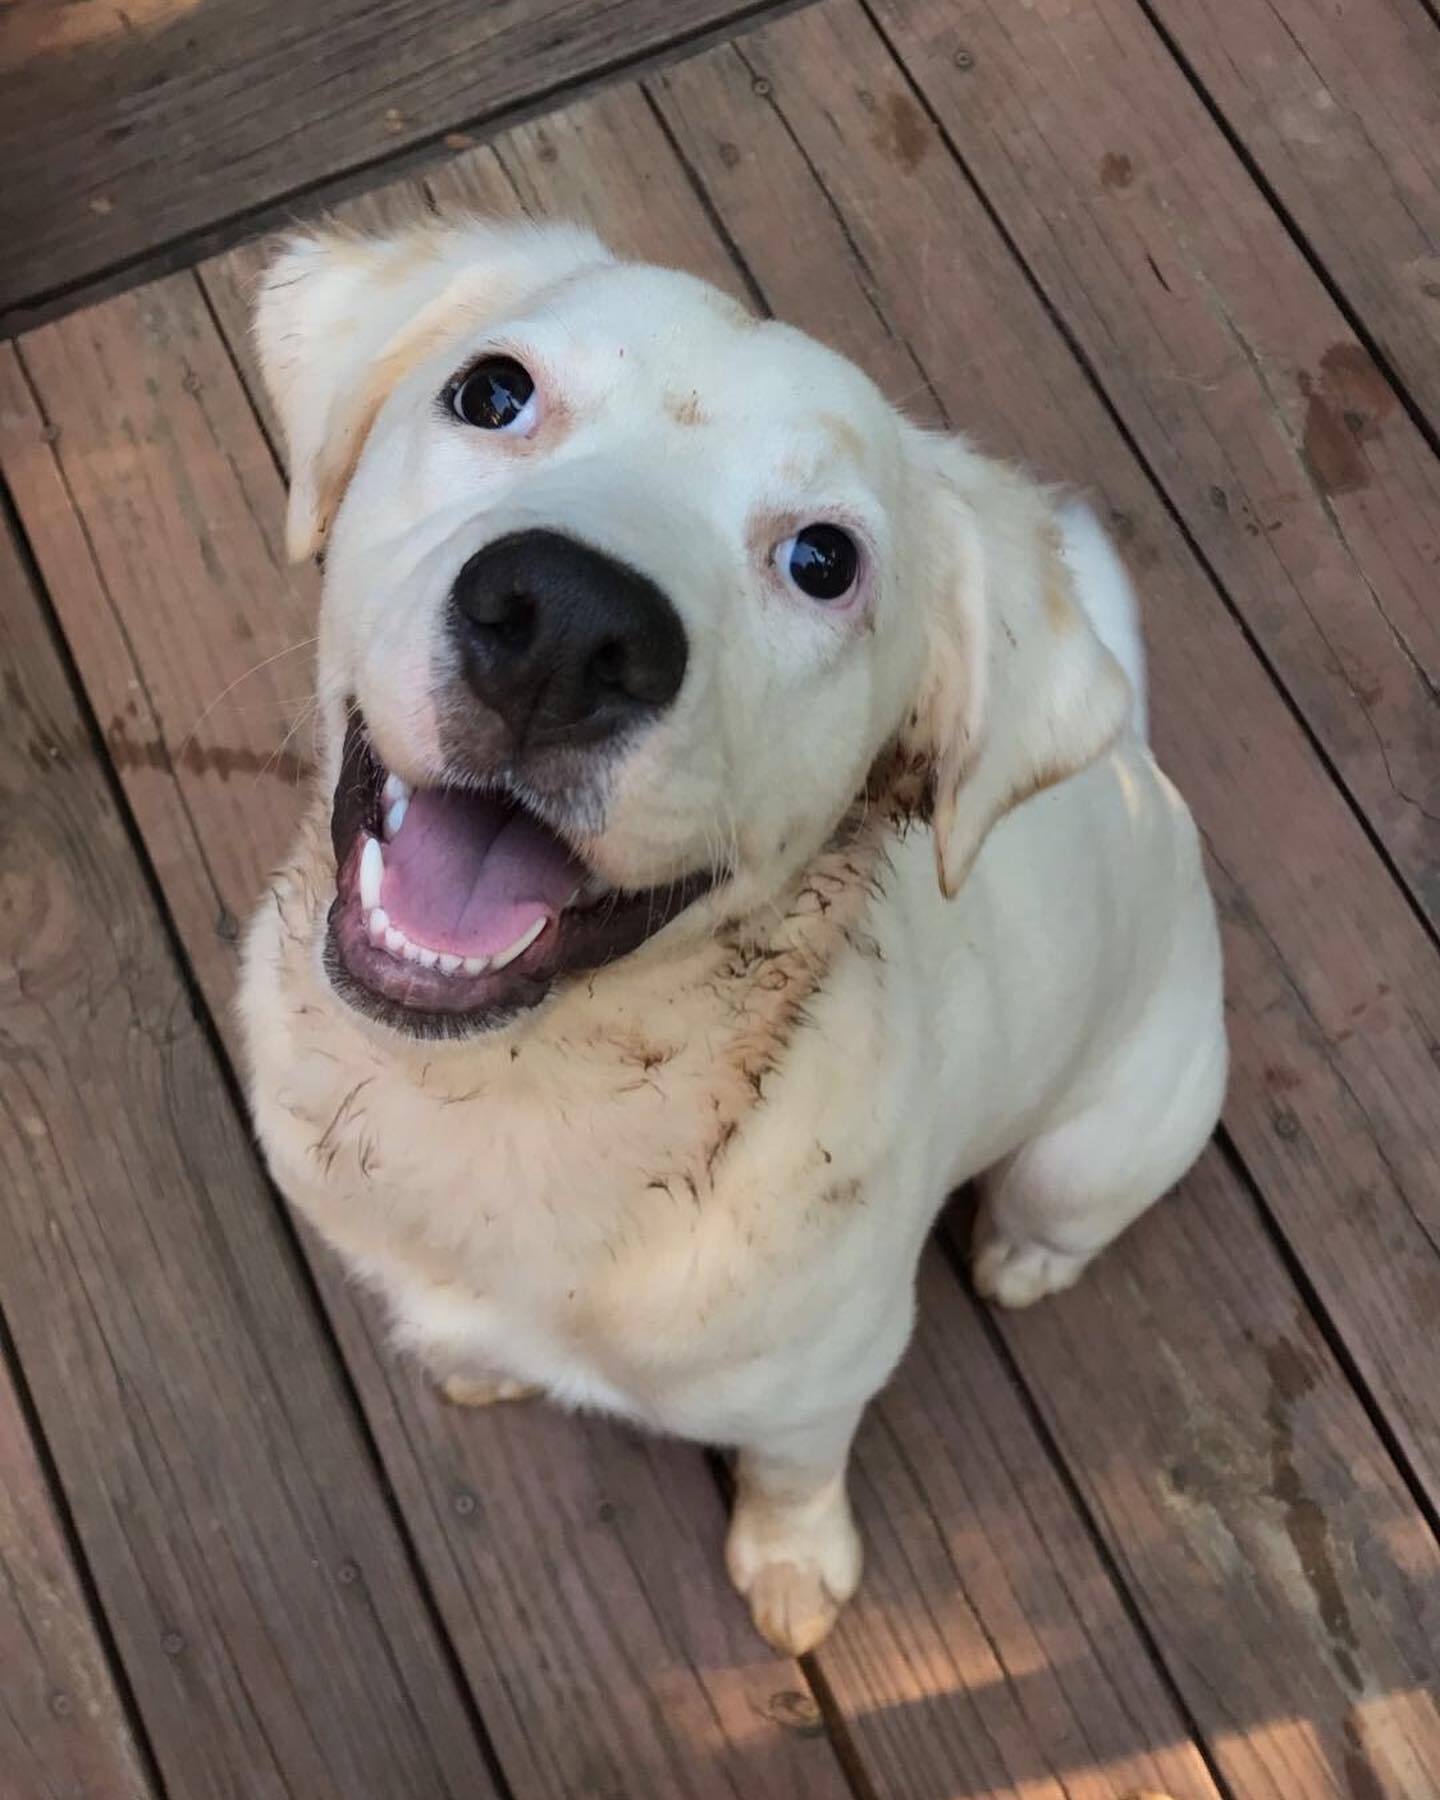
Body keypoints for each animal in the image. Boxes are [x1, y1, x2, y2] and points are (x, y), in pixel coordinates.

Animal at [239, 214, 1224, 1656]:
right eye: (492, 392)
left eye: (824, 561)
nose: (567, 622)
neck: (522, 1100)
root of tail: (1143, 766)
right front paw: (478, 1368)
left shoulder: (824, 1379)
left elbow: (792, 1473)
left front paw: (793, 1567)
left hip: (1092, 1149)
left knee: (1060, 1211)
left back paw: (1025, 1259)